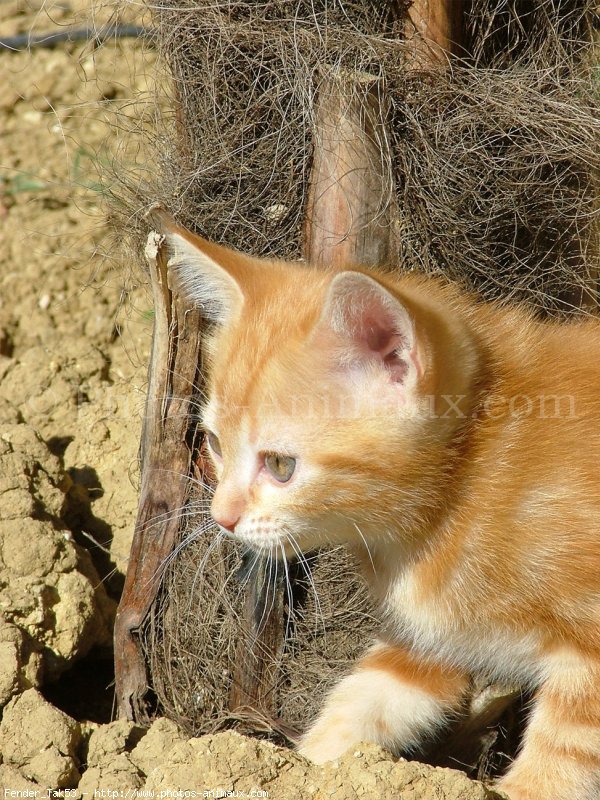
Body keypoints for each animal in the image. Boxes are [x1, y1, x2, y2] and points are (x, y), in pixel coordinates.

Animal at [158, 212, 600, 800]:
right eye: (213, 444)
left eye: (281, 466)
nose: (221, 518)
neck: (462, 484)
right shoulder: (429, 638)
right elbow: (364, 700)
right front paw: (305, 768)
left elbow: (558, 765)